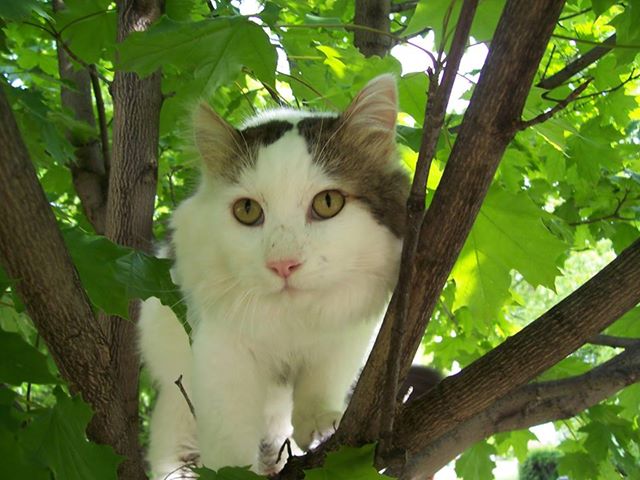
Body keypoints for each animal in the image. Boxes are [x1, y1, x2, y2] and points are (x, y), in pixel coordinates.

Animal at [138, 74, 410, 479]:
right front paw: (234, 471)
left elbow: (321, 380)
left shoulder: (351, 332)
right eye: (248, 211)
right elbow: (230, 436)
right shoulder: (221, 349)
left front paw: (321, 422)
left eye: (328, 203)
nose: (284, 264)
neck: (292, 322)